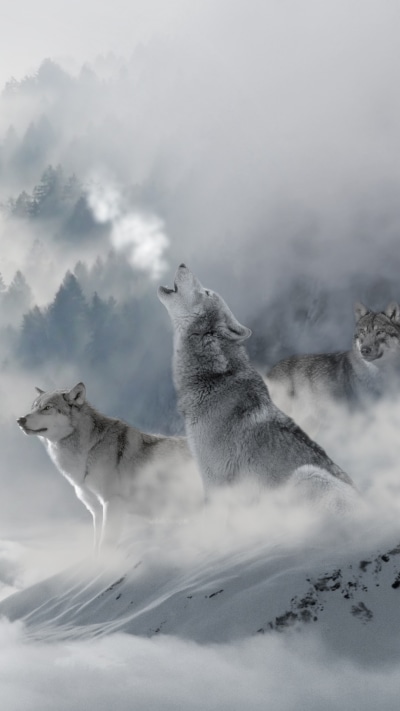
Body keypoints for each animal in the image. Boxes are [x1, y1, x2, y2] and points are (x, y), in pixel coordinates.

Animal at [17, 382, 199, 551]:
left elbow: (105, 546)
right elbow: (96, 548)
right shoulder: (97, 511)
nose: (20, 420)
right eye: (33, 408)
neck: (89, 450)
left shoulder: (112, 504)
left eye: (47, 408)